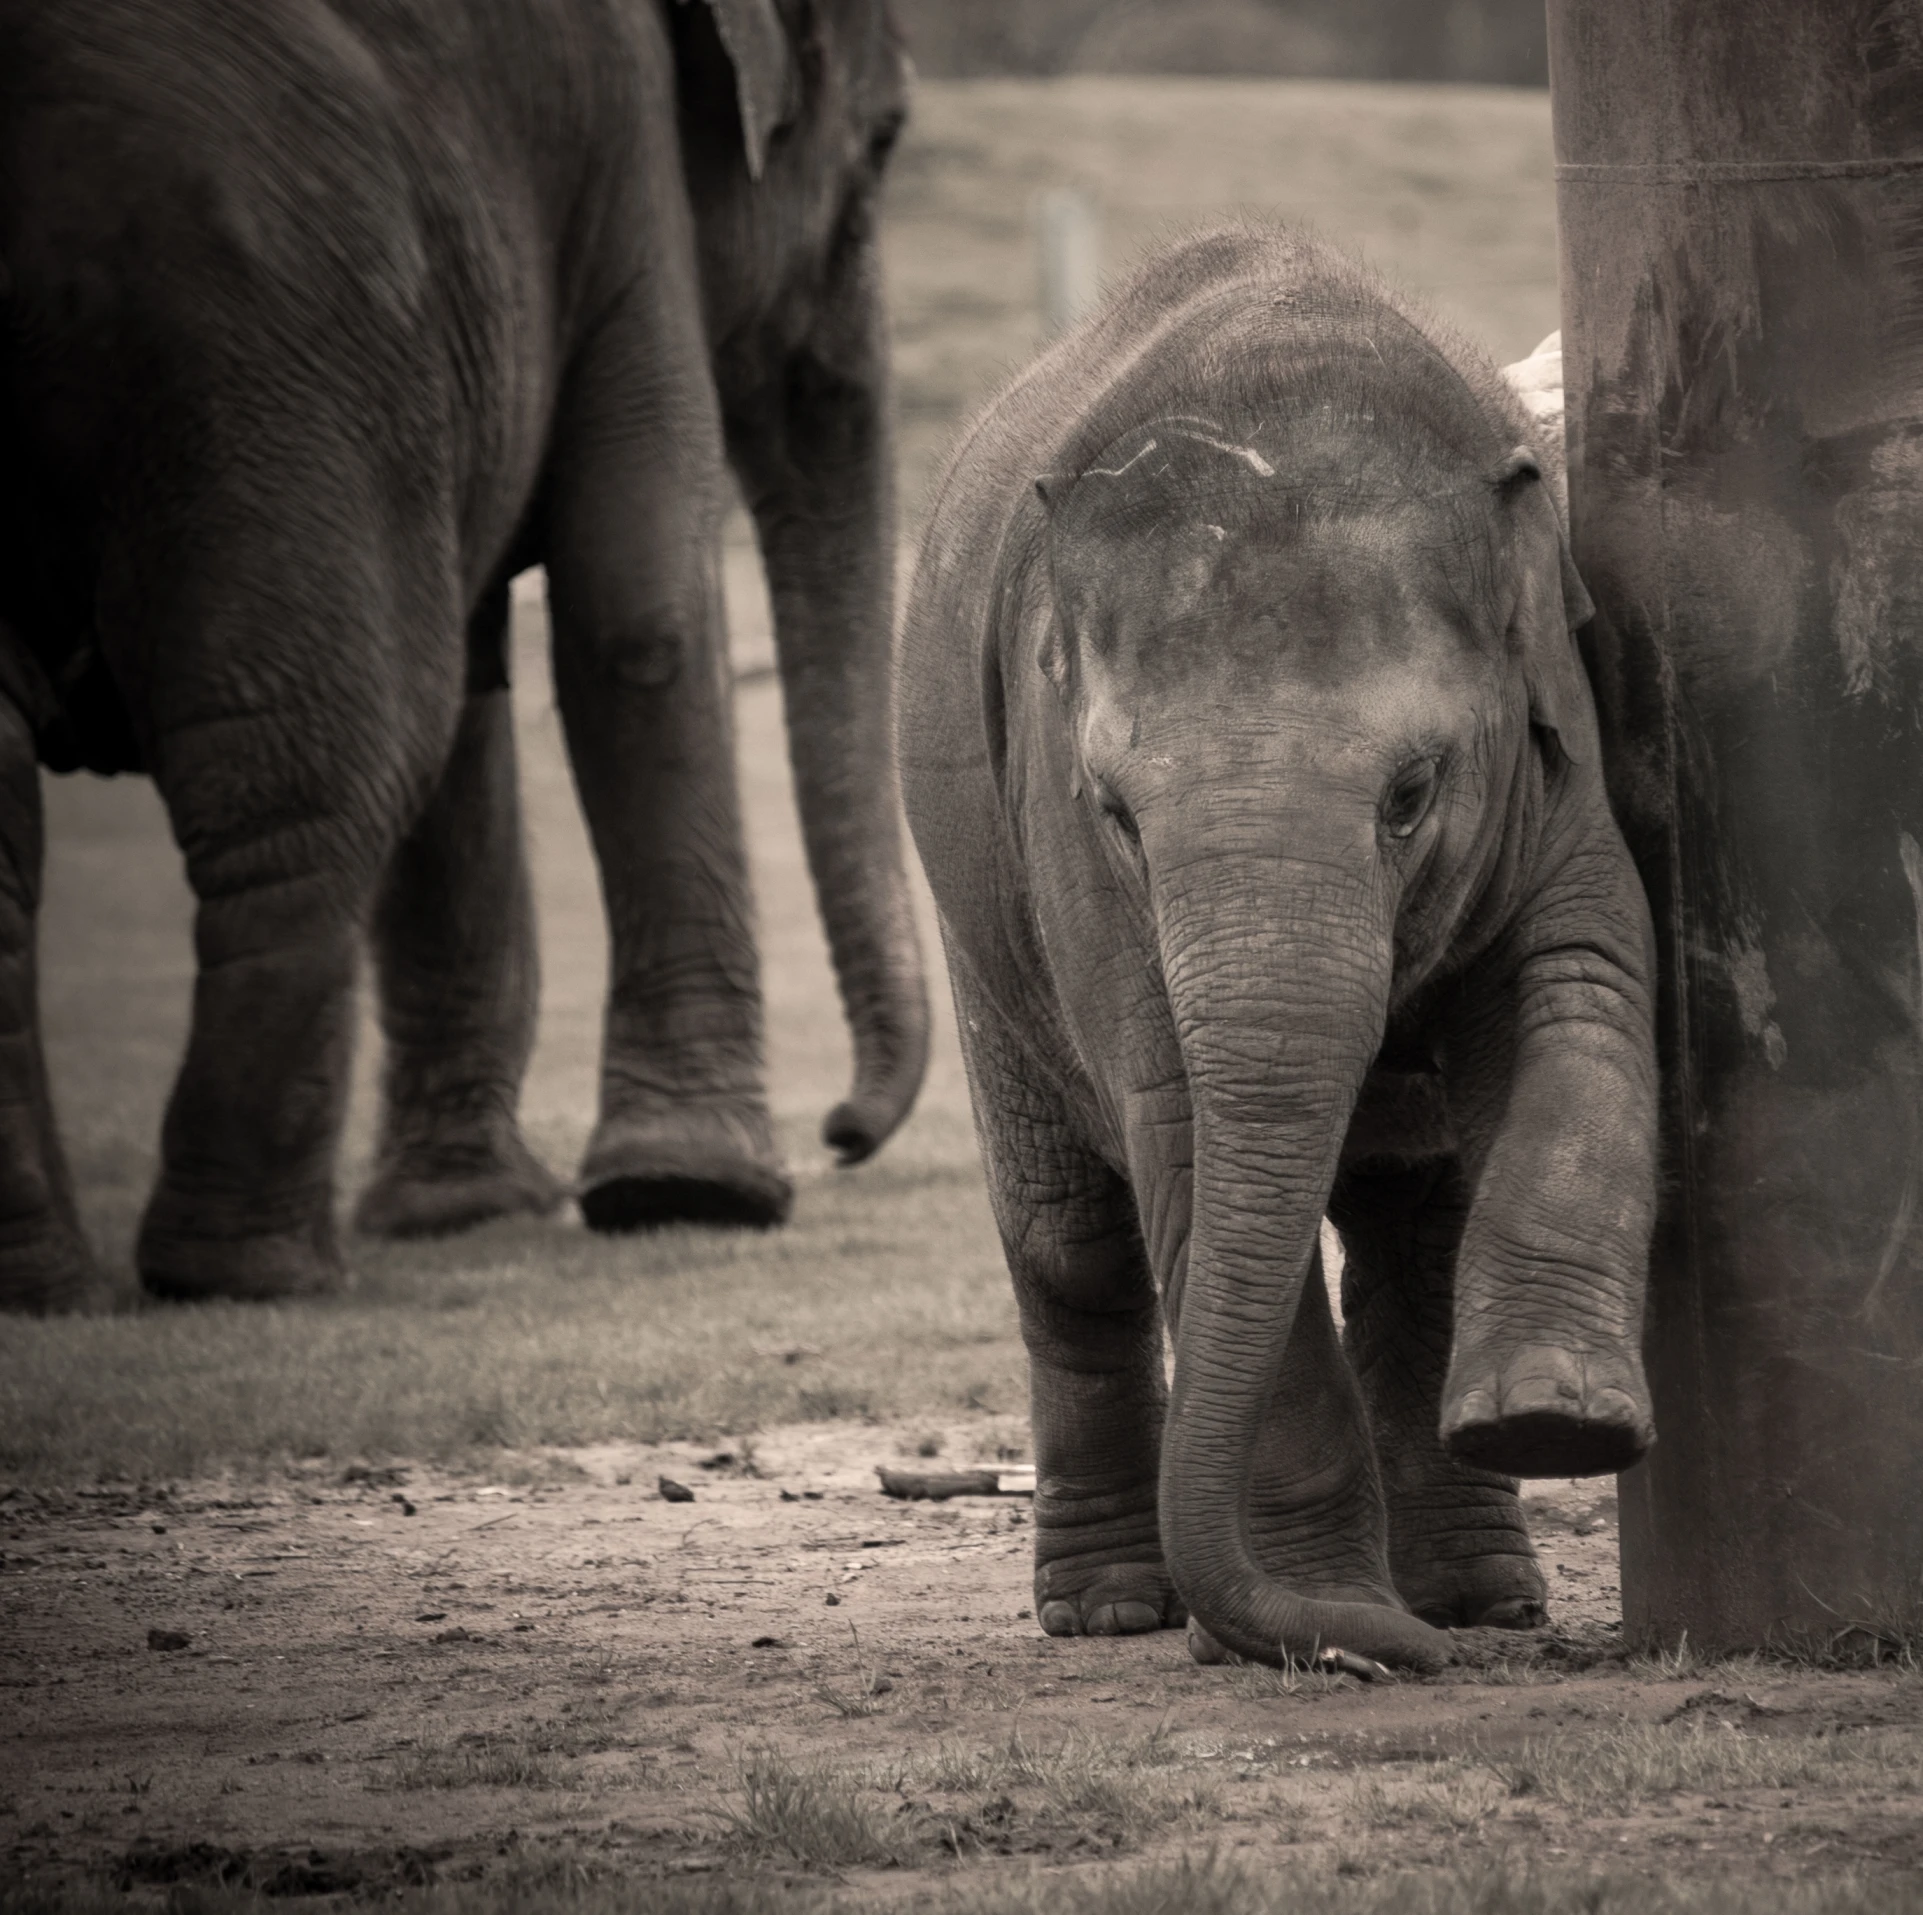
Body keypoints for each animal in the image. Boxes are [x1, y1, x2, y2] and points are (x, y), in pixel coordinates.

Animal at [0, 0, 930, 1307]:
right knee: (331, 766)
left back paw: (66, 1285)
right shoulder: (625, 163)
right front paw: (691, 1193)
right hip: (268, 336)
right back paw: (253, 1274)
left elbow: (477, 682)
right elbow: (638, 605)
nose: (843, 1132)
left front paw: (468, 1213)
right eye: (885, 140)